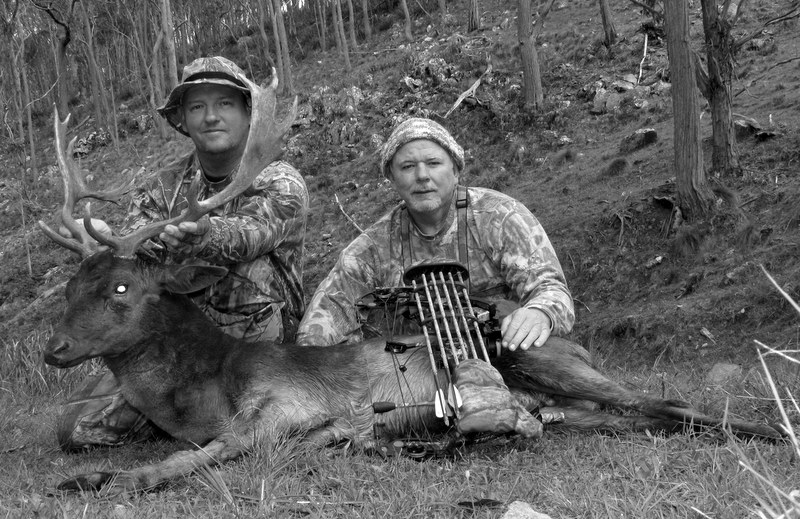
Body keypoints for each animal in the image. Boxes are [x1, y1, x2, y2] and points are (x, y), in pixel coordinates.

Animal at [37, 75, 780, 498]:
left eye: (124, 287)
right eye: (71, 285)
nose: (54, 348)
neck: (198, 391)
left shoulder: (281, 405)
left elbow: (196, 458)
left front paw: (110, 478)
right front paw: (92, 467)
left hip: (545, 355)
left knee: (667, 398)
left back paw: (771, 426)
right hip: (573, 405)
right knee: (632, 415)